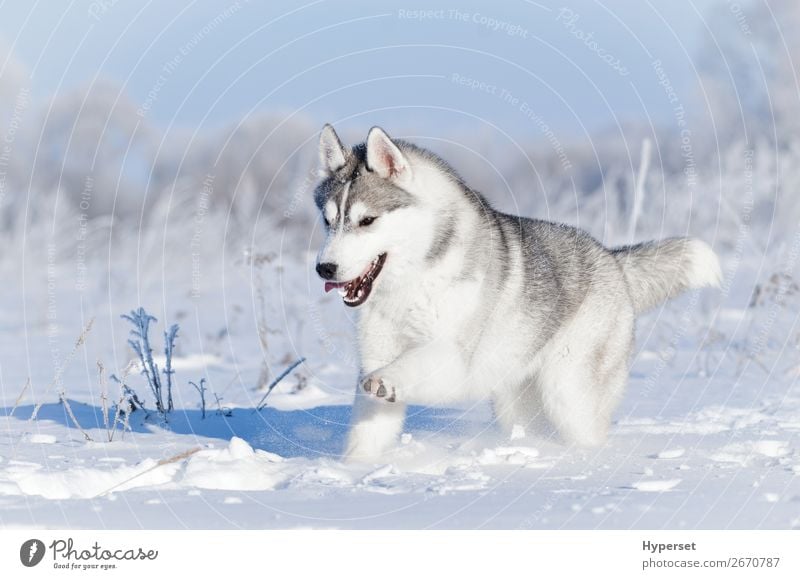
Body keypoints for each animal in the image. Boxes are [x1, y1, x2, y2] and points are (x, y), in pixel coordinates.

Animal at [310, 123, 720, 462]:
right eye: (328, 222)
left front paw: (386, 380)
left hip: (567, 391)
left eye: (367, 220)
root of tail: (611, 259)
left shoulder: (457, 359)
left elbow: (406, 367)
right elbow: (367, 431)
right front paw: (353, 473)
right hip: (514, 396)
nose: (324, 269)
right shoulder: (378, 351)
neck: (411, 282)